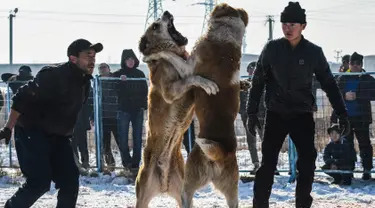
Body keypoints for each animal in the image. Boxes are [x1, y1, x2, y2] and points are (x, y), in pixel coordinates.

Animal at [135, 11, 220, 208]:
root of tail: (163, 184)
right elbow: (192, 78)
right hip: (142, 197)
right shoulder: (171, 91)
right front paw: (208, 83)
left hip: (184, 195)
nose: (166, 12)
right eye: (155, 26)